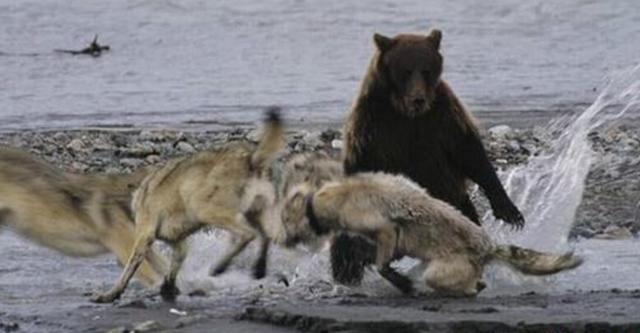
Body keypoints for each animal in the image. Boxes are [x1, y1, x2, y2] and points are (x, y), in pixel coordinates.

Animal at [91, 107, 286, 302]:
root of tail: (250, 158)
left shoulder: (144, 236)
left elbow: (129, 268)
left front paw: (112, 293)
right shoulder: (178, 244)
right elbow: (174, 267)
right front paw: (168, 288)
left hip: (205, 209)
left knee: (248, 234)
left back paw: (220, 267)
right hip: (259, 210)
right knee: (265, 236)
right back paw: (259, 268)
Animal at [282, 172, 584, 294]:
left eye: (285, 220)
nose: (283, 240)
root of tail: (488, 247)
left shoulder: (382, 226)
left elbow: (382, 264)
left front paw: (400, 282)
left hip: (438, 270)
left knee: (469, 286)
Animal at [330, 28, 524, 284]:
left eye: (426, 69)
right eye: (405, 70)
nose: (418, 98)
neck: (403, 111)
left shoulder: (442, 116)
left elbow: (470, 153)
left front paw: (509, 211)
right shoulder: (372, 126)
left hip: (454, 203)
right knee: (347, 245)